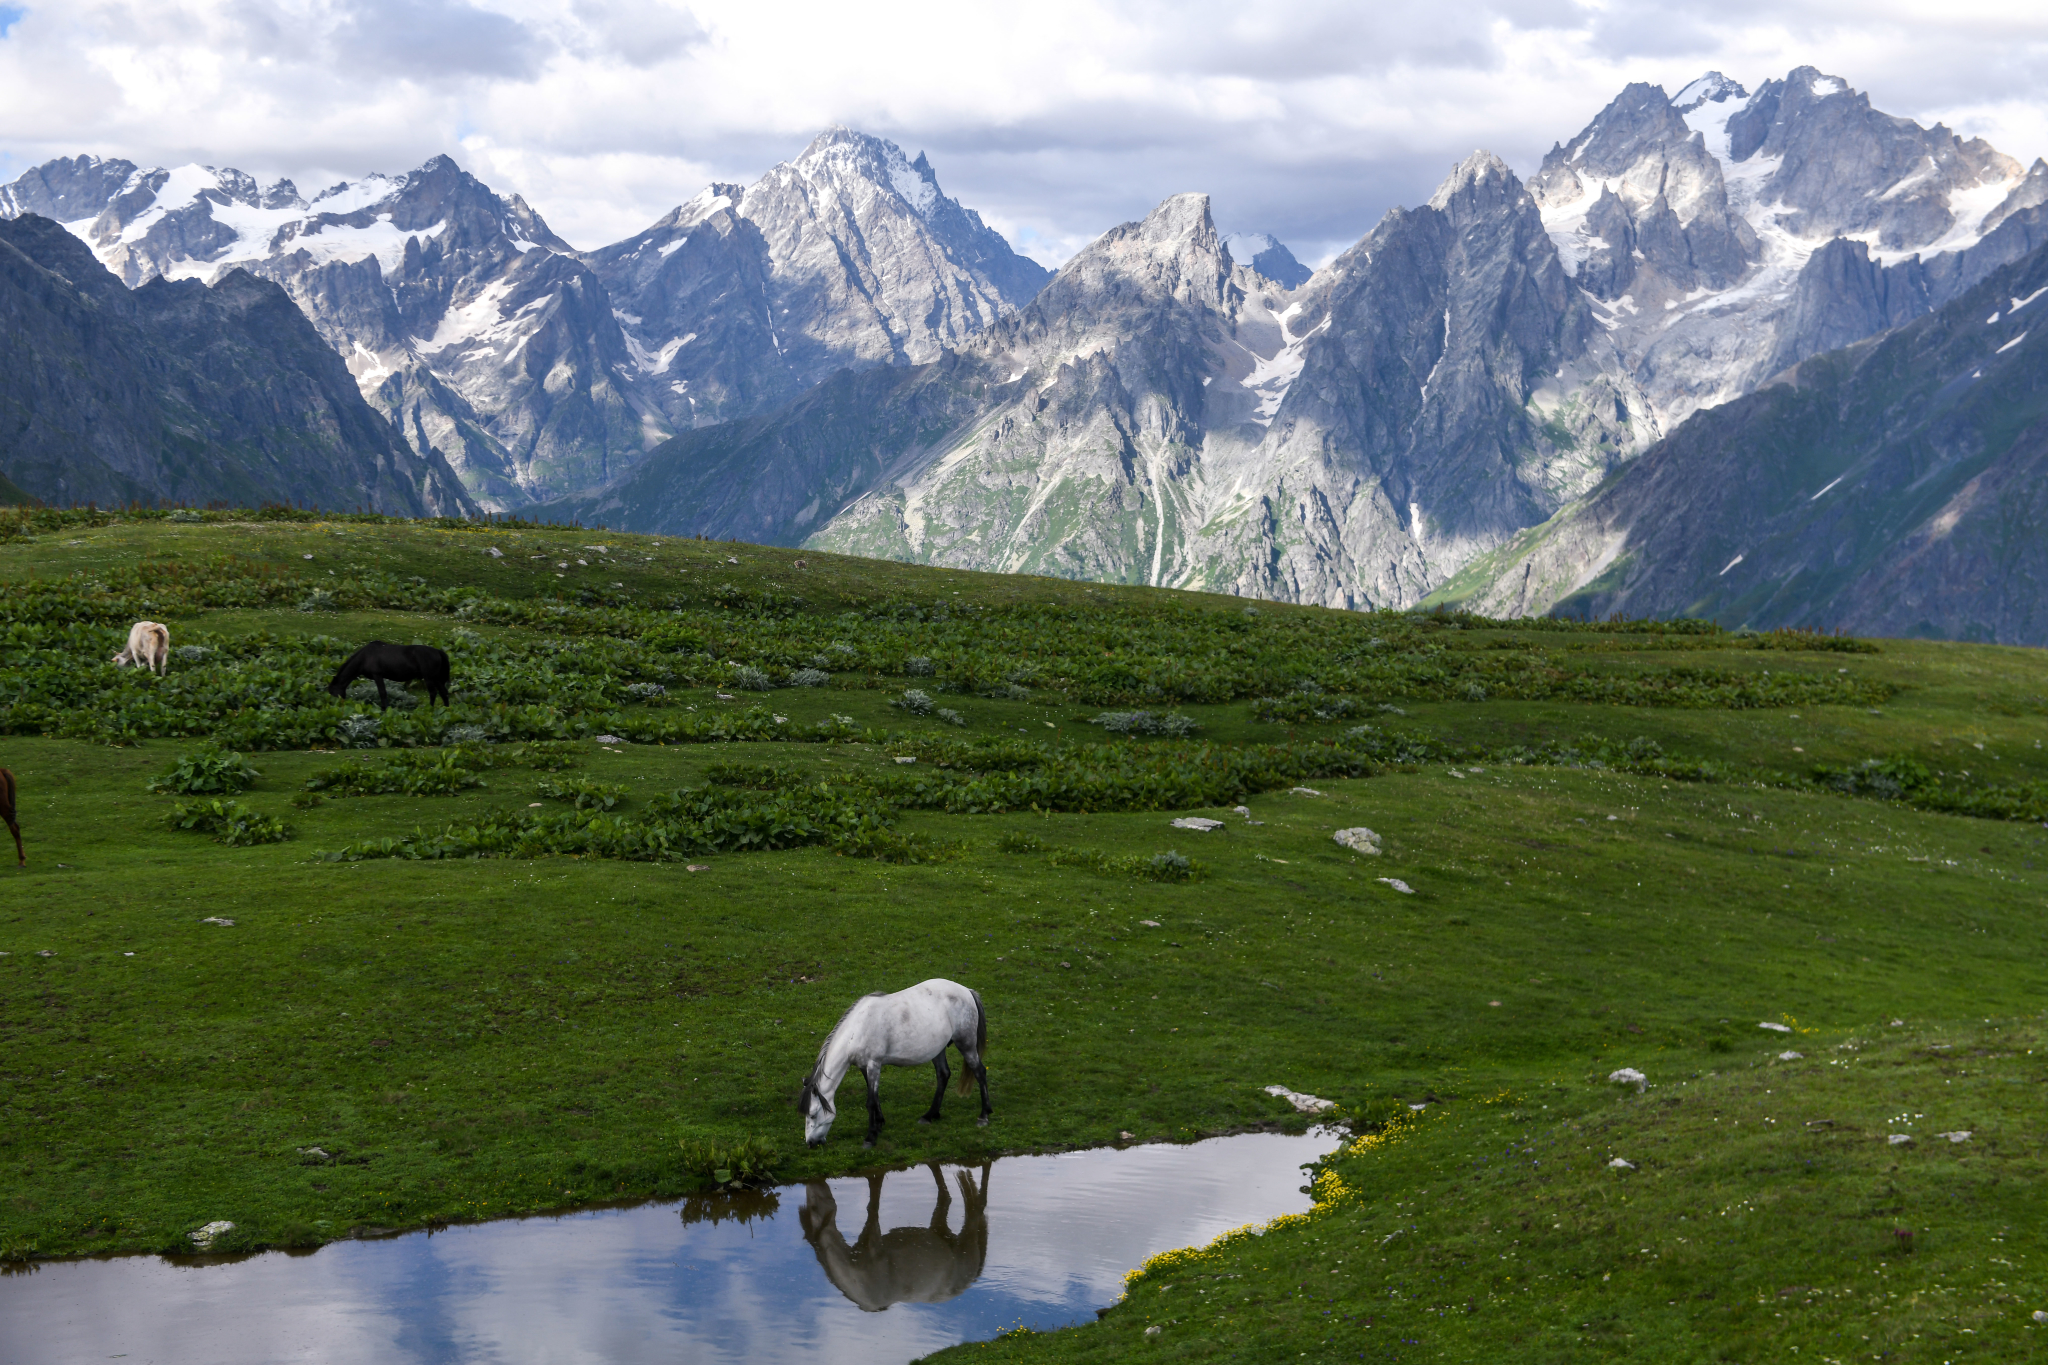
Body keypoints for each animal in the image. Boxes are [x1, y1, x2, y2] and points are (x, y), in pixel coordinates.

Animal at [798, 978, 991, 1146]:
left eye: (813, 1115)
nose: (811, 1143)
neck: (858, 1030)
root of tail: (967, 991)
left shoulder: (873, 1065)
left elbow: (870, 1101)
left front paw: (870, 1137)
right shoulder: (864, 1067)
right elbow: (874, 1097)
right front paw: (879, 1124)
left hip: (966, 1044)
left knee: (980, 1072)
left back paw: (984, 1116)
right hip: (938, 1049)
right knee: (943, 1075)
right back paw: (930, 1115)